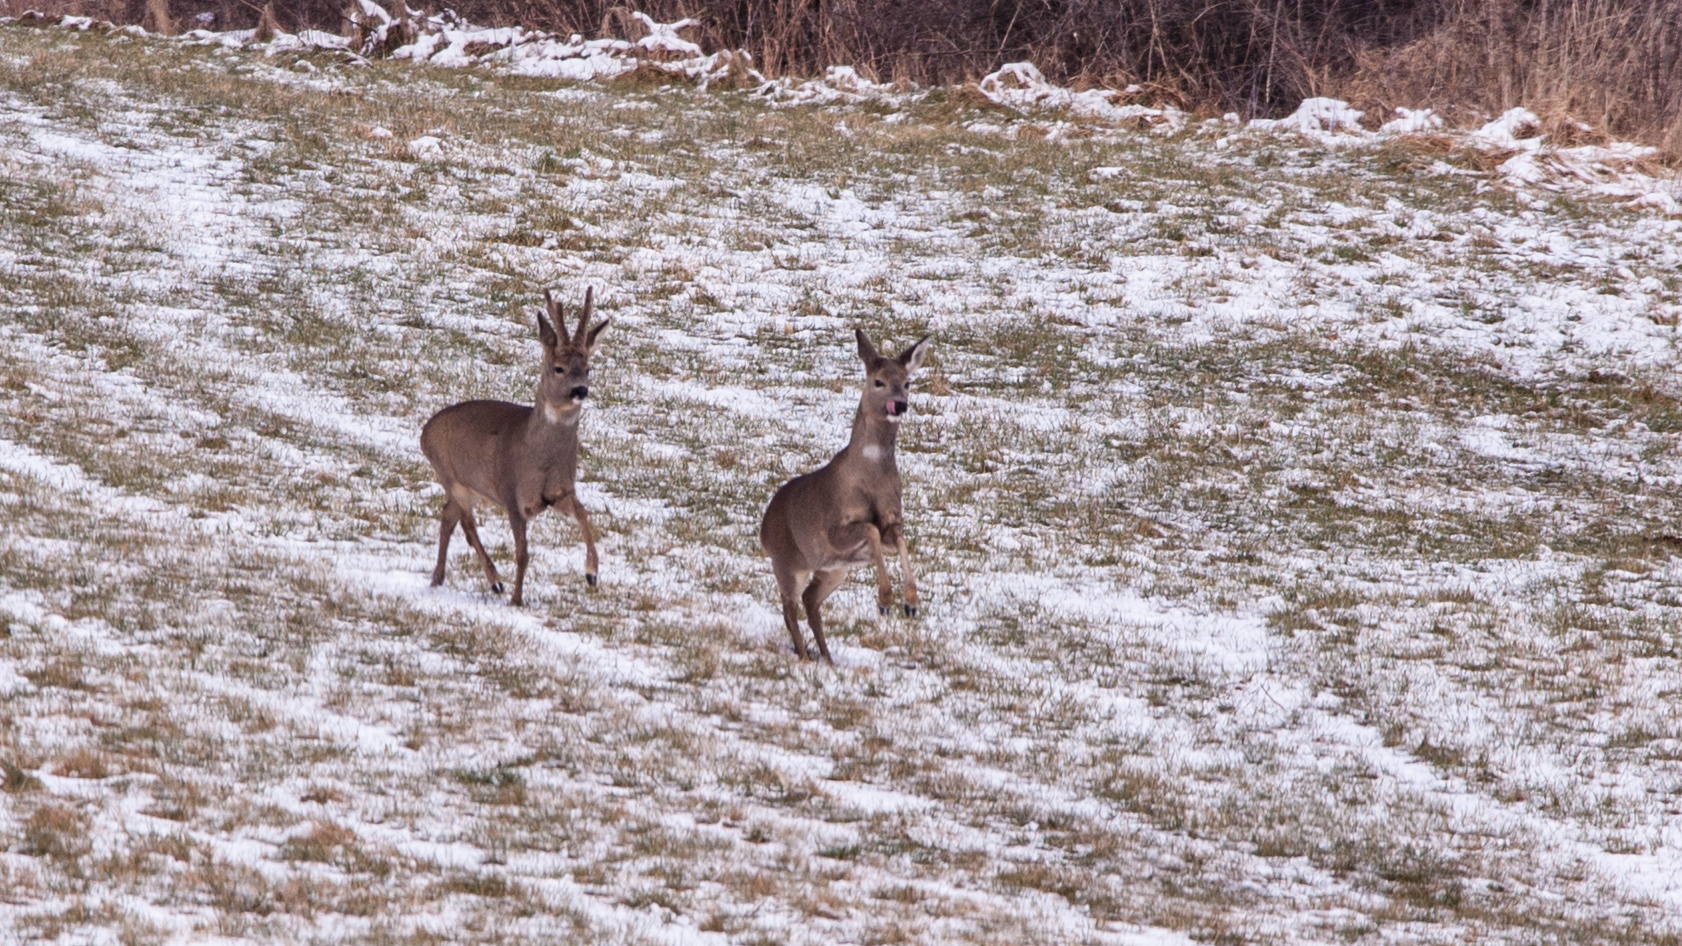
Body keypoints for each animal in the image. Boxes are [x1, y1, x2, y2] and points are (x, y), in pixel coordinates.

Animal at [420, 282, 612, 602]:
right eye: (558, 367)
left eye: (588, 368)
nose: (580, 390)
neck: (538, 459)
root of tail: (424, 431)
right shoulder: (511, 495)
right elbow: (522, 552)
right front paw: (516, 600)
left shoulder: (560, 491)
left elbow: (584, 514)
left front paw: (592, 573)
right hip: (449, 474)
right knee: (467, 524)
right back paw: (496, 582)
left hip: (468, 487)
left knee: (449, 516)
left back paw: (439, 579)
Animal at [763, 328, 935, 659]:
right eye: (878, 381)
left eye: (907, 382)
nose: (899, 404)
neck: (870, 479)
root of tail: (762, 530)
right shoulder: (834, 528)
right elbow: (869, 528)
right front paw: (885, 601)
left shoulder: (892, 520)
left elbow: (900, 539)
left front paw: (910, 603)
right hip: (788, 563)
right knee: (789, 607)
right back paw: (805, 658)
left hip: (834, 570)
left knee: (809, 601)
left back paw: (827, 658)